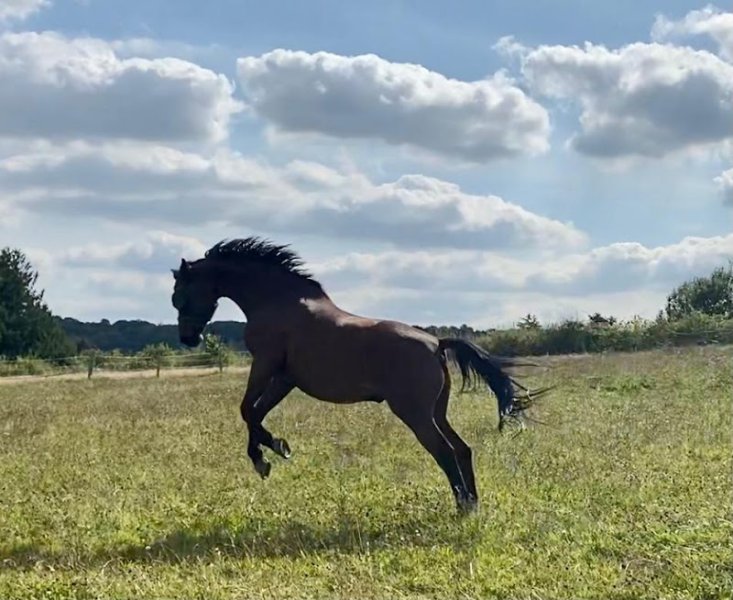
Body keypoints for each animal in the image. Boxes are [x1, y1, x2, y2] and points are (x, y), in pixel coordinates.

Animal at [171, 237, 550, 513]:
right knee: (462, 449)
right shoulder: (285, 379)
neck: (277, 301)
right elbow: (255, 413)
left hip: (415, 414)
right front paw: (270, 452)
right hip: (436, 412)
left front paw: (270, 453)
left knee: (444, 452)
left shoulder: (266, 366)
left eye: (180, 296)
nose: (188, 339)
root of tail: (435, 343)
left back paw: (462, 508)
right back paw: (472, 504)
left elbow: (247, 410)